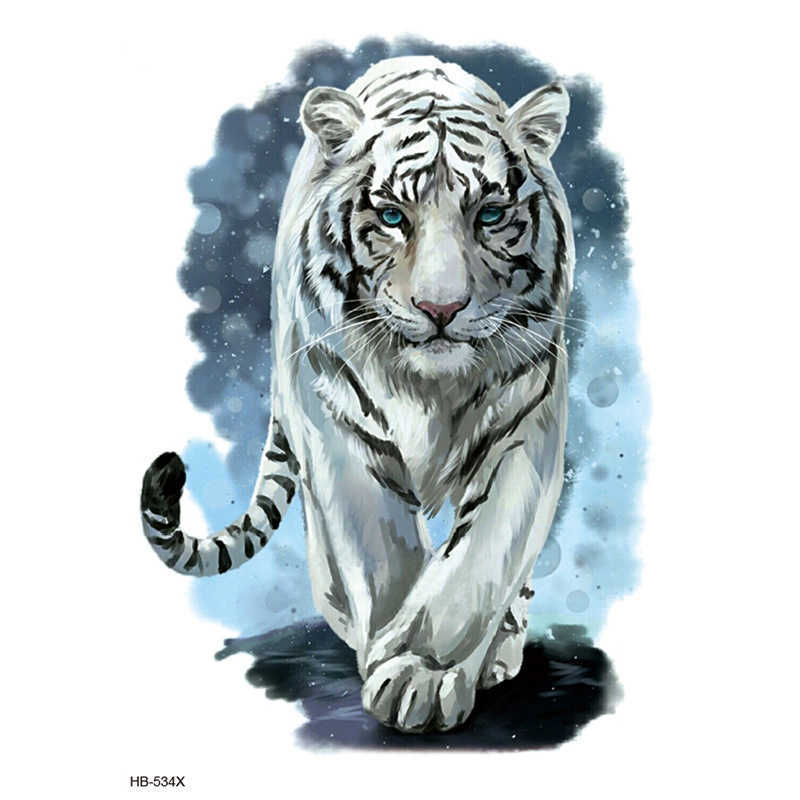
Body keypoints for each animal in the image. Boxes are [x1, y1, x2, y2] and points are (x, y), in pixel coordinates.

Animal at [141, 54, 575, 733]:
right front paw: (398, 663)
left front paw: (424, 670)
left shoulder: (525, 423)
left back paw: (500, 652)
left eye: (490, 216)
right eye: (393, 217)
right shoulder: (336, 420)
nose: (441, 309)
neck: (431, 387)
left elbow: (481, 557)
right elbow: (381, 550)